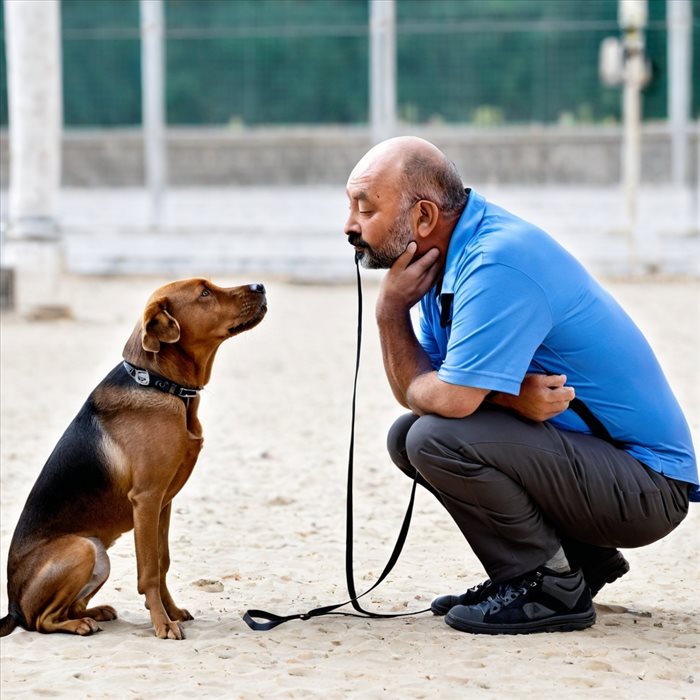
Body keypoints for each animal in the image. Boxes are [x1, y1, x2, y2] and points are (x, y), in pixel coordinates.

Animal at [0, 278, 266, 640]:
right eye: (205, 293)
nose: (260, 285)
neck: (161, 384)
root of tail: (13, 605)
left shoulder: (163, 503)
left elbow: (163, 562)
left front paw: (171, 612)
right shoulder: (147, 499)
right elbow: (150, 570)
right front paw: (162, 623)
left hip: (99, 557)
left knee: (61, 610)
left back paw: (94, 611)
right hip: (84, 548)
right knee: (41, 621)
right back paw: (79, 624)